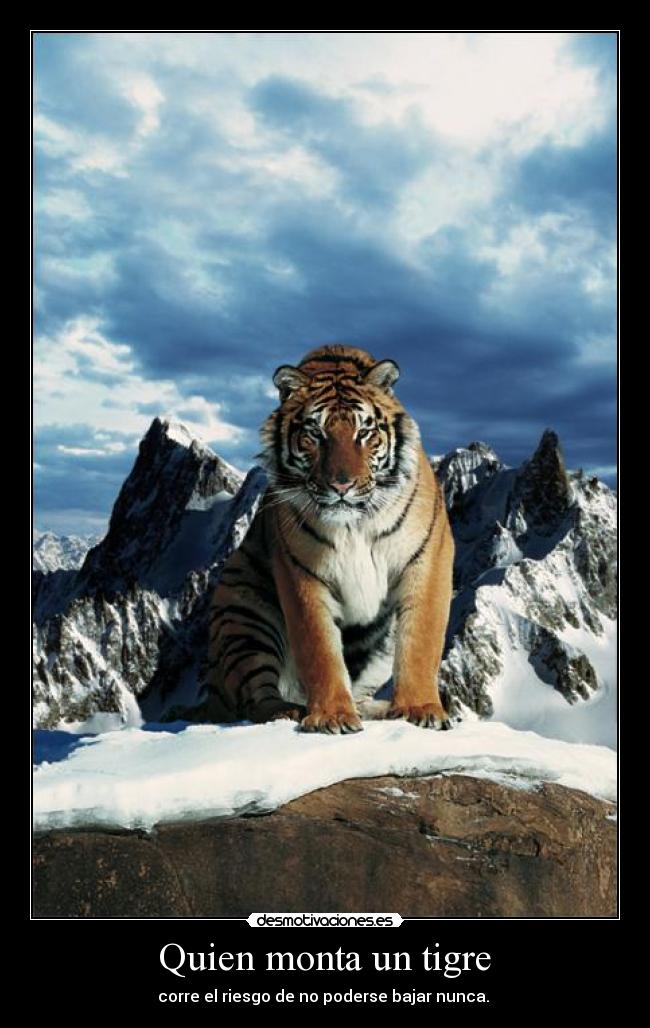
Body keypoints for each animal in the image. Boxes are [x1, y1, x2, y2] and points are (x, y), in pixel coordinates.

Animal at [205, 344, 454, 734]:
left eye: (364, 433)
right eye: (315, 434)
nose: (342, 485)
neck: (355, 524)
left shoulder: (427, 558)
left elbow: (420, 641)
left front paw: (420, 708)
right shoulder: (300, 573)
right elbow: (319, 649)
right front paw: (331, 716)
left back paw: (379, 708)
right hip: (245, 613)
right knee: (254, 699)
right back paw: (288, 710)